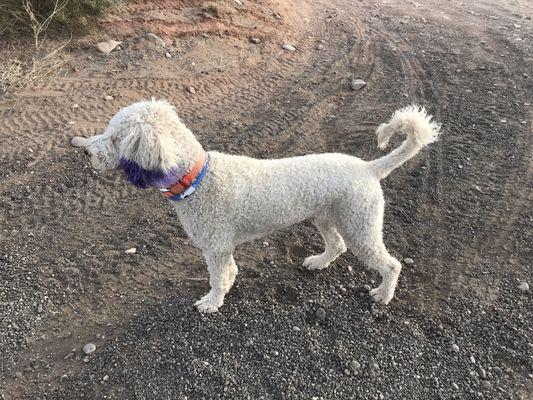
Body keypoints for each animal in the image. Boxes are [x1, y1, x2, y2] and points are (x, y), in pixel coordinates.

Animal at [70, 100, 438, 312]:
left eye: (116, 137)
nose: (86, 152)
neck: (198, 177)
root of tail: (369, 168)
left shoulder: (216, 247)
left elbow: (219, 278)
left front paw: (212, 303)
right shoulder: (221, 248)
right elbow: (229, 273)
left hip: (361, 225)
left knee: (390, 264)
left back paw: (383, 295)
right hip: (327, 217)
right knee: (337, 246)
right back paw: (318, 262)